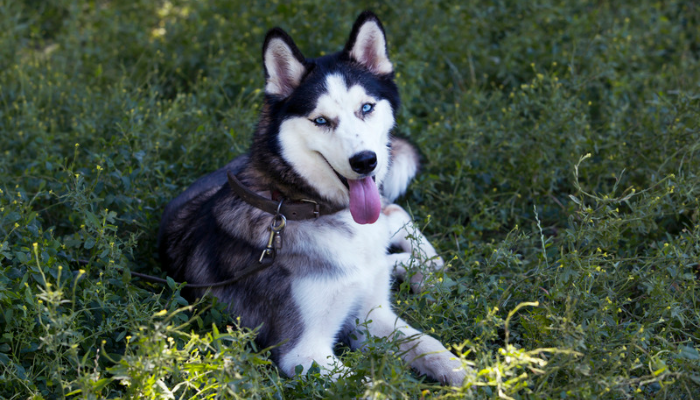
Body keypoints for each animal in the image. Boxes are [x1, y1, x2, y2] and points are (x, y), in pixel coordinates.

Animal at [157, 11, 464, 384]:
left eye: (366, 107)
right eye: (321, 120)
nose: (365, 161)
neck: (304, 206)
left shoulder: (372, 316)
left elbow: (429, 345)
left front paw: (472, 374)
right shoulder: (304, 352)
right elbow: (369, 383)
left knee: (395, 214)